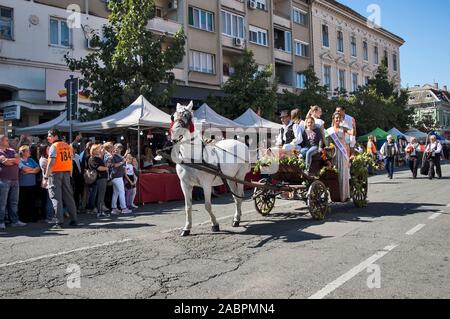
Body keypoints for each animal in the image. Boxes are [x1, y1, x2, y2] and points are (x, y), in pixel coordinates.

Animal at [171, 102, 251, 238]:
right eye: (173, 116)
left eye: (188, 117)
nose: (174, 136)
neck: (192, 159)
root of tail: (240, 142)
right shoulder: (185, 184)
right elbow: (188, 207)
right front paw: (187, 228)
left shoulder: (206, 184)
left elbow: (207, 206)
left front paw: (215, 224)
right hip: (230, 179)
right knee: (236, 198)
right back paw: (237, 217)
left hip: (240, 176)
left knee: (239, 196)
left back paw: (236, 219)